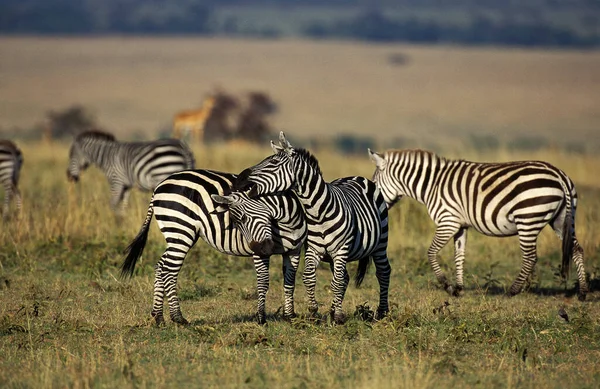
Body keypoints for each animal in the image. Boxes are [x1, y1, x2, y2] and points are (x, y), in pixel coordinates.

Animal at [67, 130, 195, 212]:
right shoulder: (126, 186)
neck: (107, 156)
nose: (69, 176)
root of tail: (182, 148)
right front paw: (122, 223)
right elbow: (124, 205)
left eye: (71, 155)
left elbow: (113, 203)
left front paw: (113, 223)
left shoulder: (116, 181)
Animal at [119, 170, 308, 324]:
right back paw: (178, 317)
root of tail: (159, 186)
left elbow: (290, 282)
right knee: (169, 270)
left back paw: (158, 317)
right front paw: (261, 318)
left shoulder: (294, 251)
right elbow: (263, 282)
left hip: (175, 234)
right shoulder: (259, 252)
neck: (286, 221)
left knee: (161, 265)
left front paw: (290, 316)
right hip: (181, 229)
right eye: (238, 221)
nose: (264, 248)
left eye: (242, 219)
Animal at [232, 132, 392, 322]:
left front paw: (338, 317)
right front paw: (314, 311)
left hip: (380, 243)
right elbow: (310, 277)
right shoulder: (312, 249)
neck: (318, 212)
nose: (239, 179)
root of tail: (356, 176)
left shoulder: (341, 250)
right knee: (345, 277)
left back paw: (382, 312)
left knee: (383, 272)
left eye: (273, 163)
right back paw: (333, 310)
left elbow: (336, 282)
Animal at [368, 149, 588, 300]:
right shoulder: (460, 225)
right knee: (576, 249)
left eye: (374, 185)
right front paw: (458, 288)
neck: (432, 185)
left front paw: (446, 285)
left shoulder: (448, 221)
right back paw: (583, 292)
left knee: (530, 257)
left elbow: (430, 253)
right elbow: (459, 256)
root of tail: (559, 175)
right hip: (561, 219)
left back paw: (512, 291)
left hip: (528, 218)